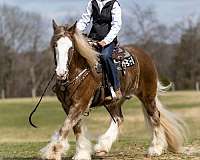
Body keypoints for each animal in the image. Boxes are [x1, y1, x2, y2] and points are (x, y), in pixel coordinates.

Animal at [35, 20, 188, 159]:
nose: (61, 73)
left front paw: (53, 152)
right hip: (113, 101)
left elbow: (65, 127)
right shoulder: (68, 105)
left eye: (71, 47)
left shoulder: (80, 104)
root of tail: (145, 56)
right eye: (55, 46)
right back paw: (102, 147)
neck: (80, 71)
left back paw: (155, 149)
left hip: (147, 96)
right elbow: (75, 128)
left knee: (155, 117)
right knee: (119, 119)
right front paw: (81, 153)